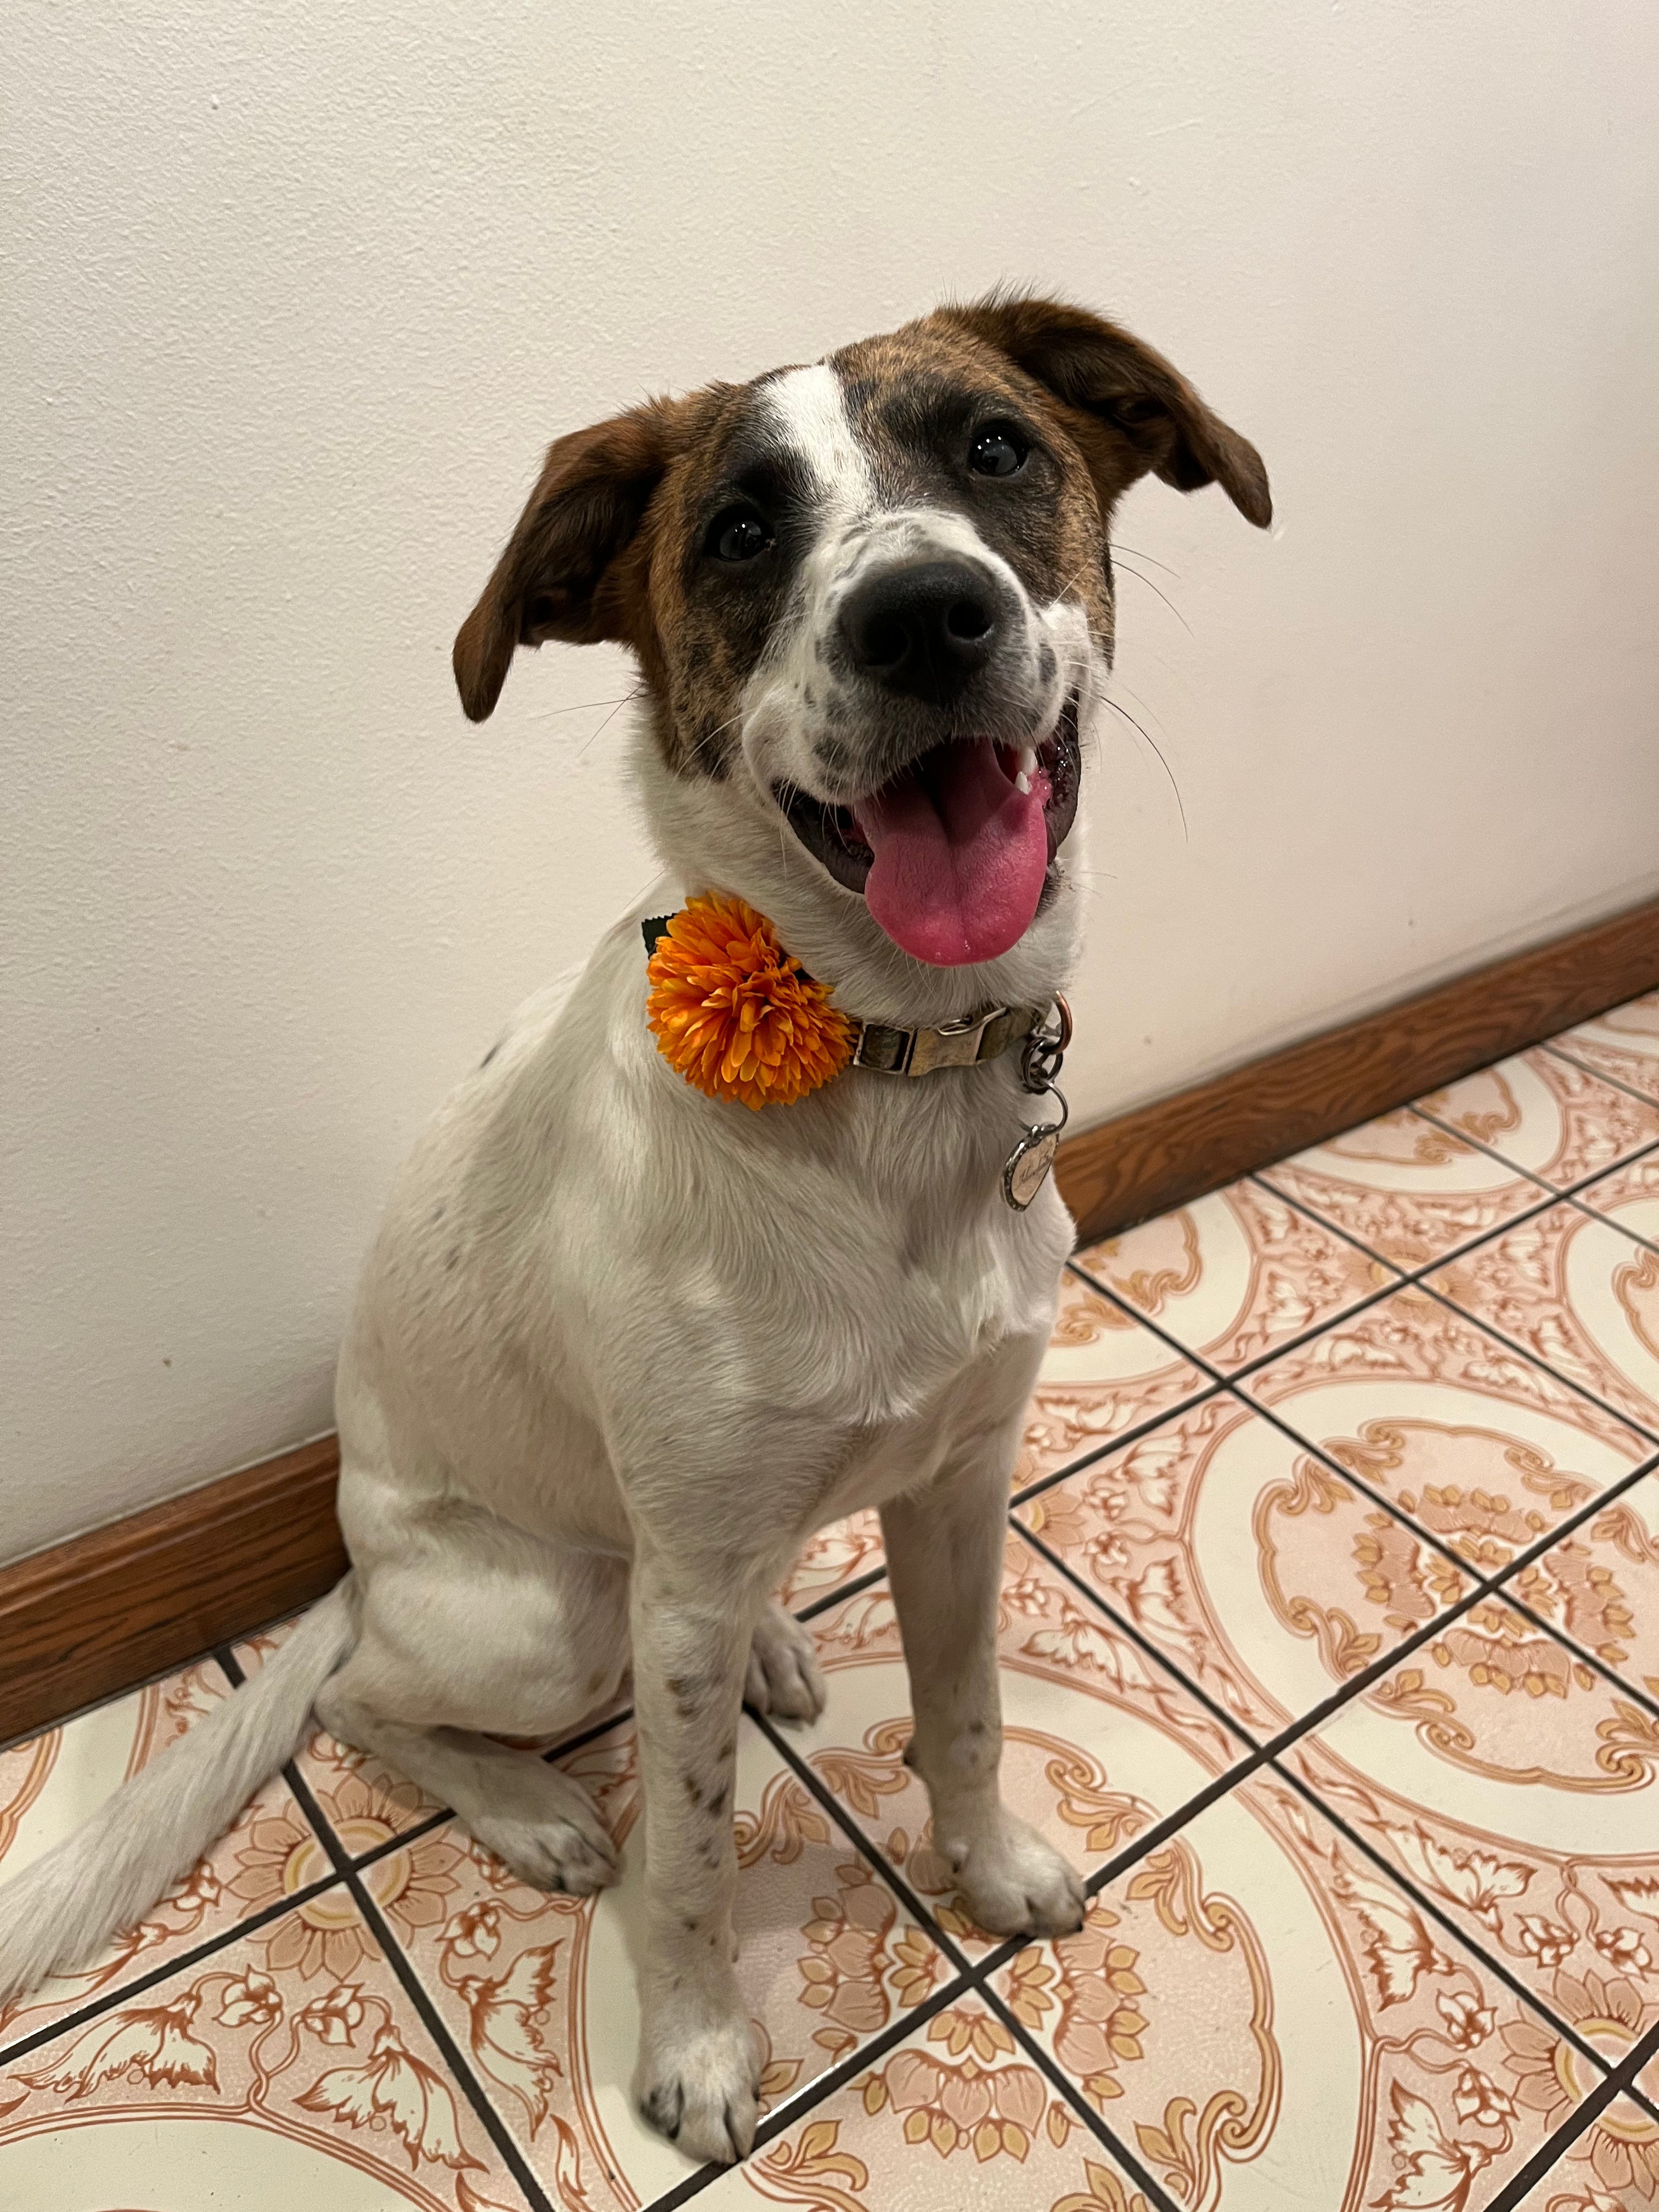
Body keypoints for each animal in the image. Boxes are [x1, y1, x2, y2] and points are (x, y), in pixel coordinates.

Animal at [3, 290, 1274, 2159]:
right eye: (740, 533)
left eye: (995, 449)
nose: (925, 615)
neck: (883, 1070)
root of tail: (358, 1566)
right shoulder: (673, 1611)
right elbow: (688, 1858)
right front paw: (694, 2053)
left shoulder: (966, 1484)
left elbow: (964, 1717)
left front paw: (988, 1870)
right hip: (558, 1617)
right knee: (362, 1704)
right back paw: (529, 1807)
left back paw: (777, 1649)